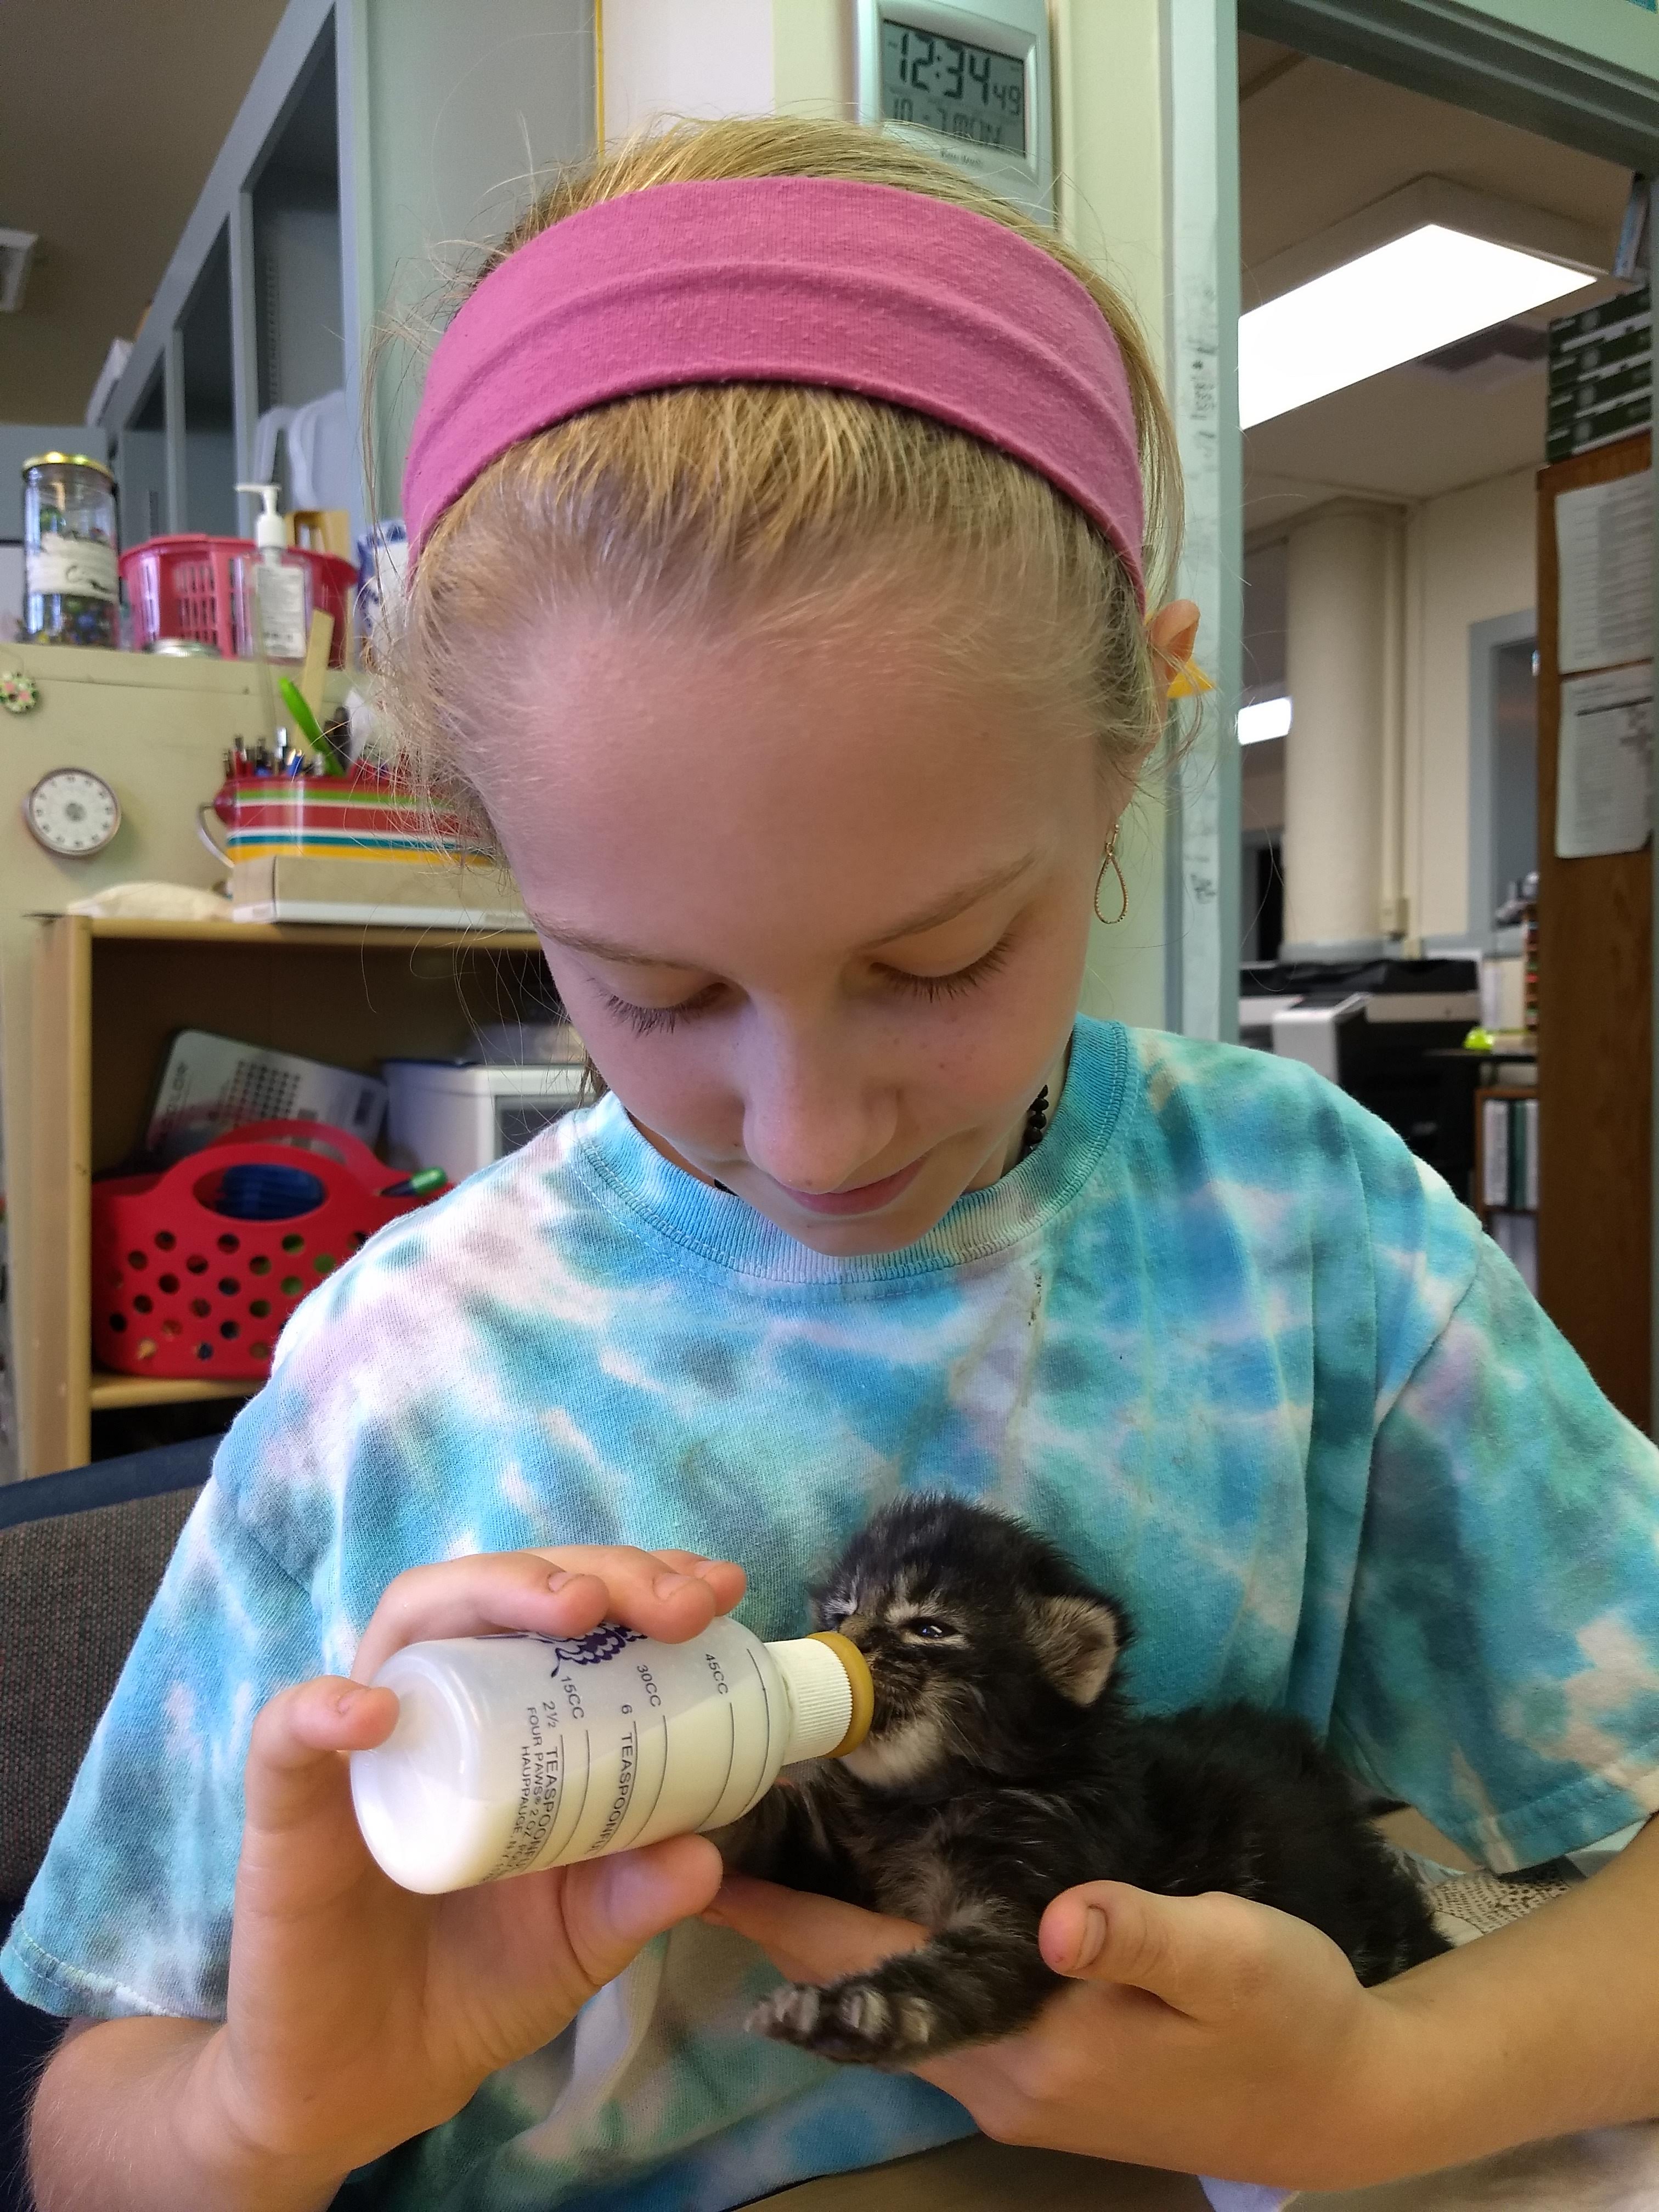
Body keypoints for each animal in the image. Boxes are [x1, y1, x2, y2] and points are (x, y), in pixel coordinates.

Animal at [722, 1493, 1448, 2068]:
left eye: (930, 1628)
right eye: (840, 1614)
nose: (846, 1640)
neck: (928, 1802)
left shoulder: (1031, 1899)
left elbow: (947, 1985)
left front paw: (854, 2013)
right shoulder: (842, 1853)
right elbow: (787, 1835)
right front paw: (722, 1820)